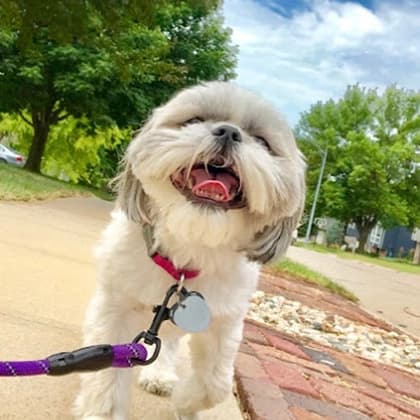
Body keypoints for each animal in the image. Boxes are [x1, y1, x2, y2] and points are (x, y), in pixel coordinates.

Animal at [73, 82, 306, 420]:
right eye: (194, 120)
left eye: (263, 141)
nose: (228, 132)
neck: (187, 253)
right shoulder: (116, 306)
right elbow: (107, 375)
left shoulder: (225, 321)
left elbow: (215, 383)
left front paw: (184, 401)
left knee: (170, 343)